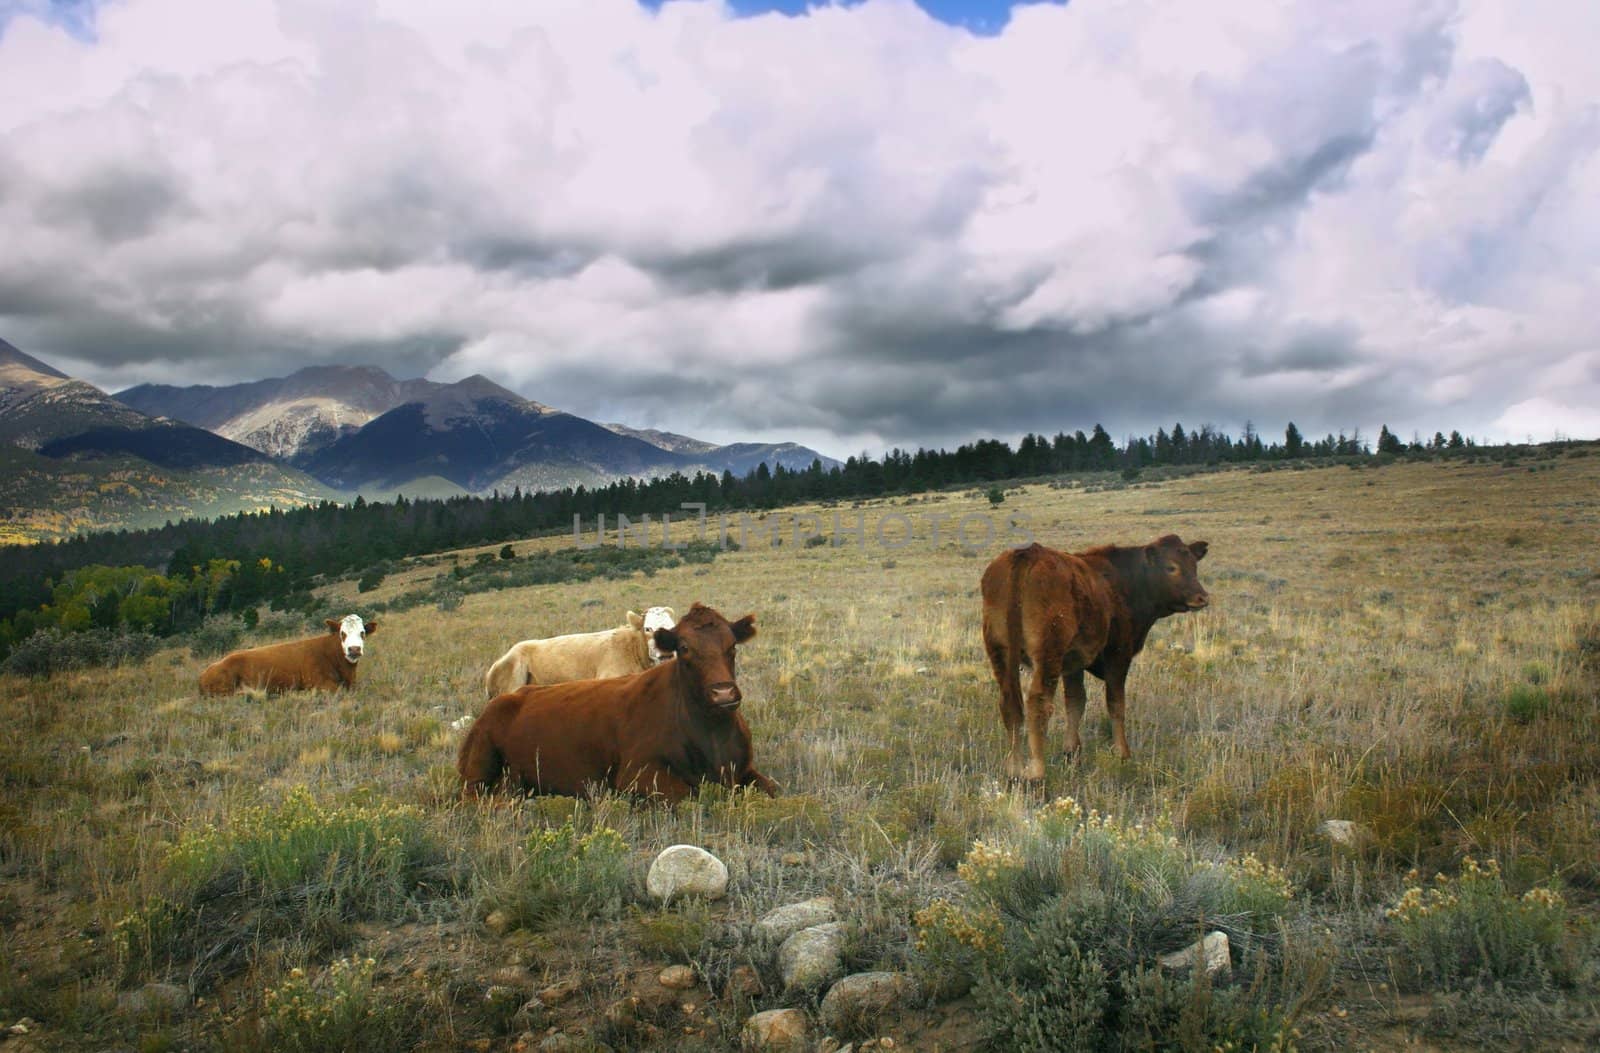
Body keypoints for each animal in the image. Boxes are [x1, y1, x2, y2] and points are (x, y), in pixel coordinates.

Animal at [972, 537, 1209, 774]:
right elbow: (1115, 703)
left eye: (1194, 565)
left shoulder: (1073, 664)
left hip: (1001, 654)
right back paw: (1037, 772)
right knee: (1037, 704)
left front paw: (1072, 753)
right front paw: (1123, 753)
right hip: (1047, 656)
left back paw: (1014, 768)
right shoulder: (1118, 655)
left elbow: (1075, 701)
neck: (1124, 580)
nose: (1202, 597)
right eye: (1171, 567)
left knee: (1010, 704)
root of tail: (1026, 556)